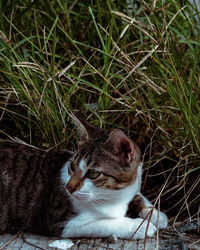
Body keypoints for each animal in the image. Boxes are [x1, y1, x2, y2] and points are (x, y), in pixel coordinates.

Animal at [0, 114, 167, 239]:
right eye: (72, 167)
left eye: (93, 173)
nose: (68, 187)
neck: (112, 197)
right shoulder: (60, 221)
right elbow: (103, 223)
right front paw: (139, 226)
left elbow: (137, 194)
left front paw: (155, 214)